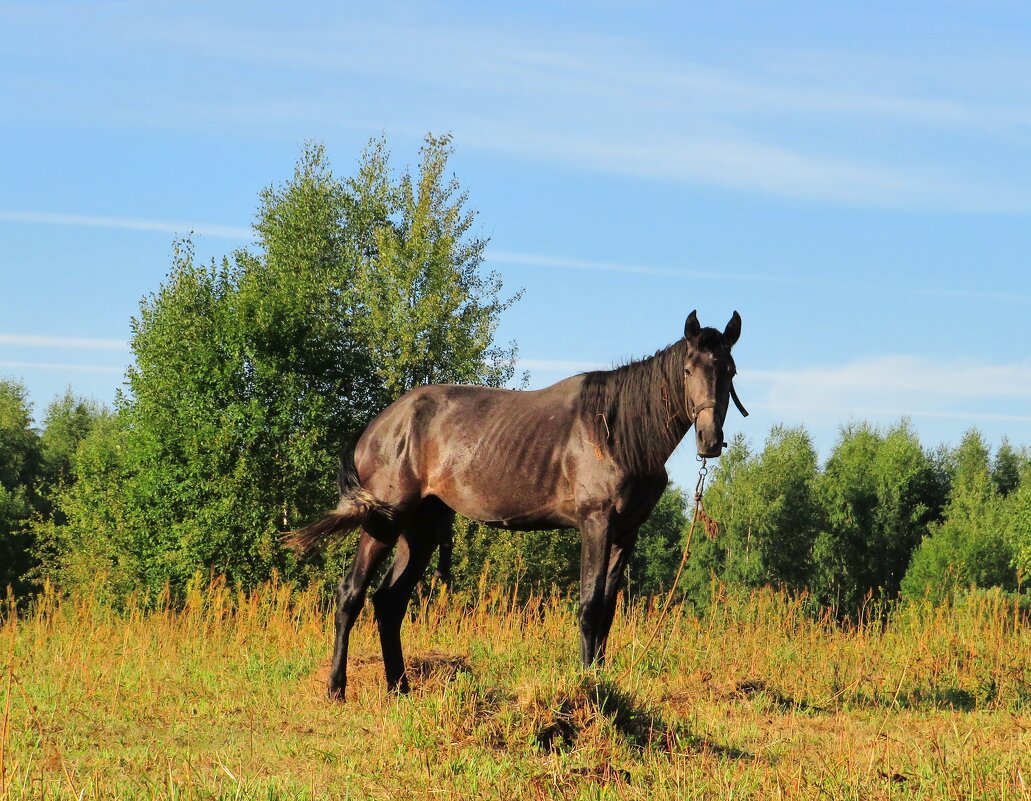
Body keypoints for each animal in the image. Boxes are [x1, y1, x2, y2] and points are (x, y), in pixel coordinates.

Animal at [294, 309, 746, 696]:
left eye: (729, 370)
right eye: (687, 370)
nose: (709, 441)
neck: (617, 433)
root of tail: (376, 427)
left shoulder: (626, 533)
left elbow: (607, 612)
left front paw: (603, 681)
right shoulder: (596, 524)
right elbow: (589, 608)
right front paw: (588, 686)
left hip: (419, 531)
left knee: (389, 603)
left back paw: (400, 689)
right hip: (382, 523)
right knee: (350, 594)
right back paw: (337, 689)